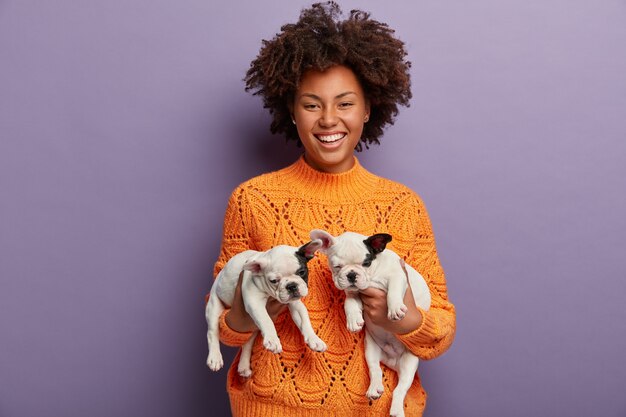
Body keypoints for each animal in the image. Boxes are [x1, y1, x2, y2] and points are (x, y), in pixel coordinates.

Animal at [207, 239, 330, 376]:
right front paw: (273, 340)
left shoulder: (295, 304)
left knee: (247, 343)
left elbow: (304, 321)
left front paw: (314, 339)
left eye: (302, 272)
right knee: (212, 332)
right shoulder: (254, 301)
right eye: (274, 280)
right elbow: (266, 320)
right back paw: (215, 358)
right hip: (214, 304)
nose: (291, 286)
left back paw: (243, 367)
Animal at [308, 229, 428, 416]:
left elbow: (393, 291)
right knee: (375, 370)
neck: (373, 275)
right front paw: (353, 319)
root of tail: (392, 361)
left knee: (400, 389)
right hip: (371, 350)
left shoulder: (398, 276)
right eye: (337, 266)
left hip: (410, 363)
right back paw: (374, 389)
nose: (351, 274)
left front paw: (395, 308)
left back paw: (396, 409)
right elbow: (349, 302)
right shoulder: (353, 291)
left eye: (366, 263)